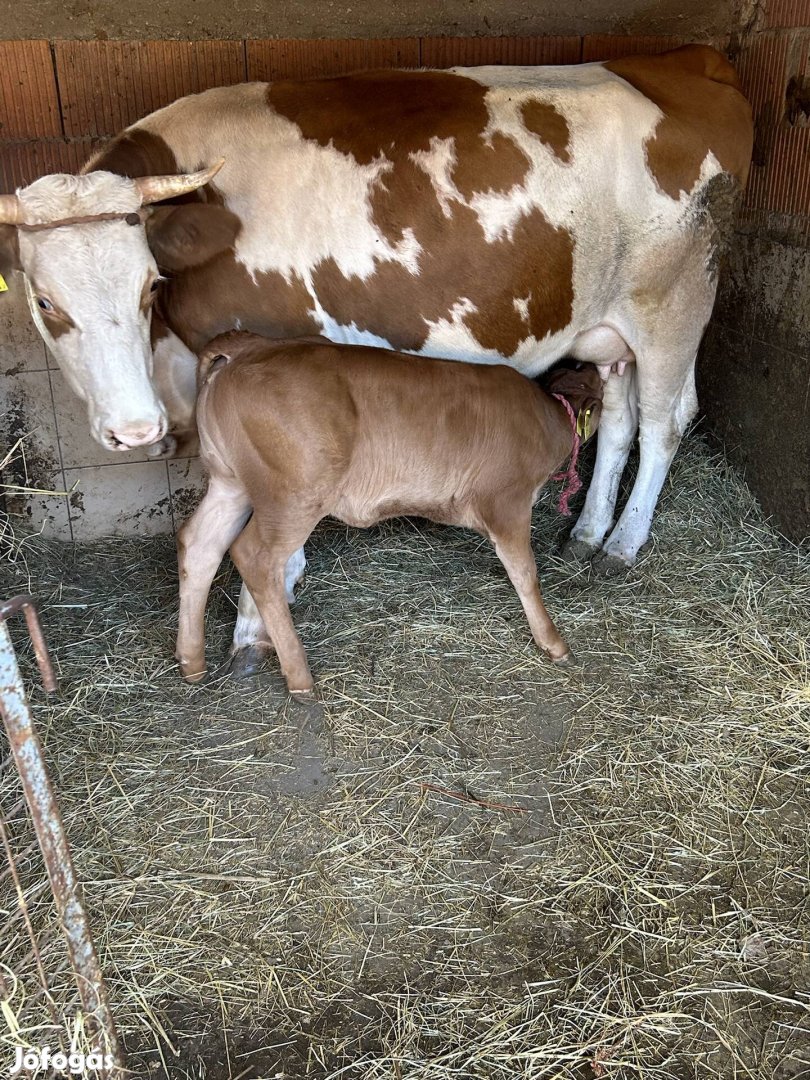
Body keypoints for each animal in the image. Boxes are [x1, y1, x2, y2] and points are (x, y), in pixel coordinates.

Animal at [174, 332, 604, 695]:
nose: (594, 363)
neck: (545, 416)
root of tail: (251, 345)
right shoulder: (507, 503)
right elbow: (526, 574)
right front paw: (553, 642)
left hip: (230, 483)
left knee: (199, 545)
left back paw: (191, 662)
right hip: (293, 496)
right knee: (255, 557)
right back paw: (299, 677)